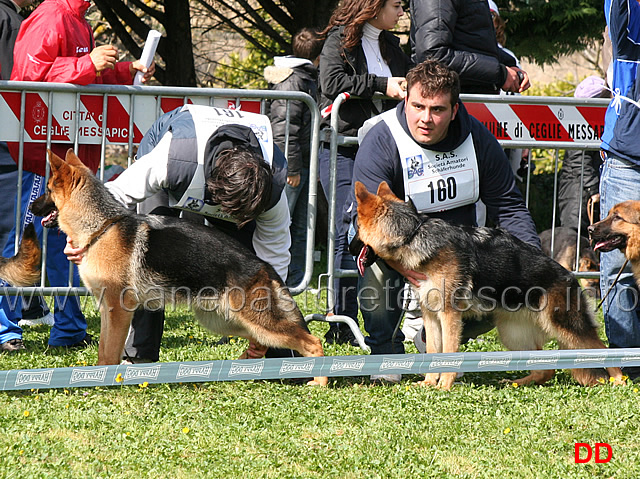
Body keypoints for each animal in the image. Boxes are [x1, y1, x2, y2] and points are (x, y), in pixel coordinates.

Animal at [28, 150, 328, 386]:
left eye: (48, 190)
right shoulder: (107, 310)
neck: (101, 228)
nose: (31, 206)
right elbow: (104, 348)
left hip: (255, 321)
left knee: (313, 342)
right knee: (263, 344)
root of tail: (262, 265)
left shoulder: (118, 309)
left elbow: (110, 351)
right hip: (225, 321)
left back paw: (319, 381)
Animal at [352, 182, 624, 392]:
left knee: (602, 349)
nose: (349, 248)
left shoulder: (449, 316)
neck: (413, 234)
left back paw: (620, 382)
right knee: (544, 369)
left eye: (356, 228)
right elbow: (432, 350)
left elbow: (448, 350)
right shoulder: (431, 316)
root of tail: (569, 275)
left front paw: (444, 385)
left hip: (566, 326)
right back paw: (517, 382)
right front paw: (430, 383)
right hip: (513, 333)